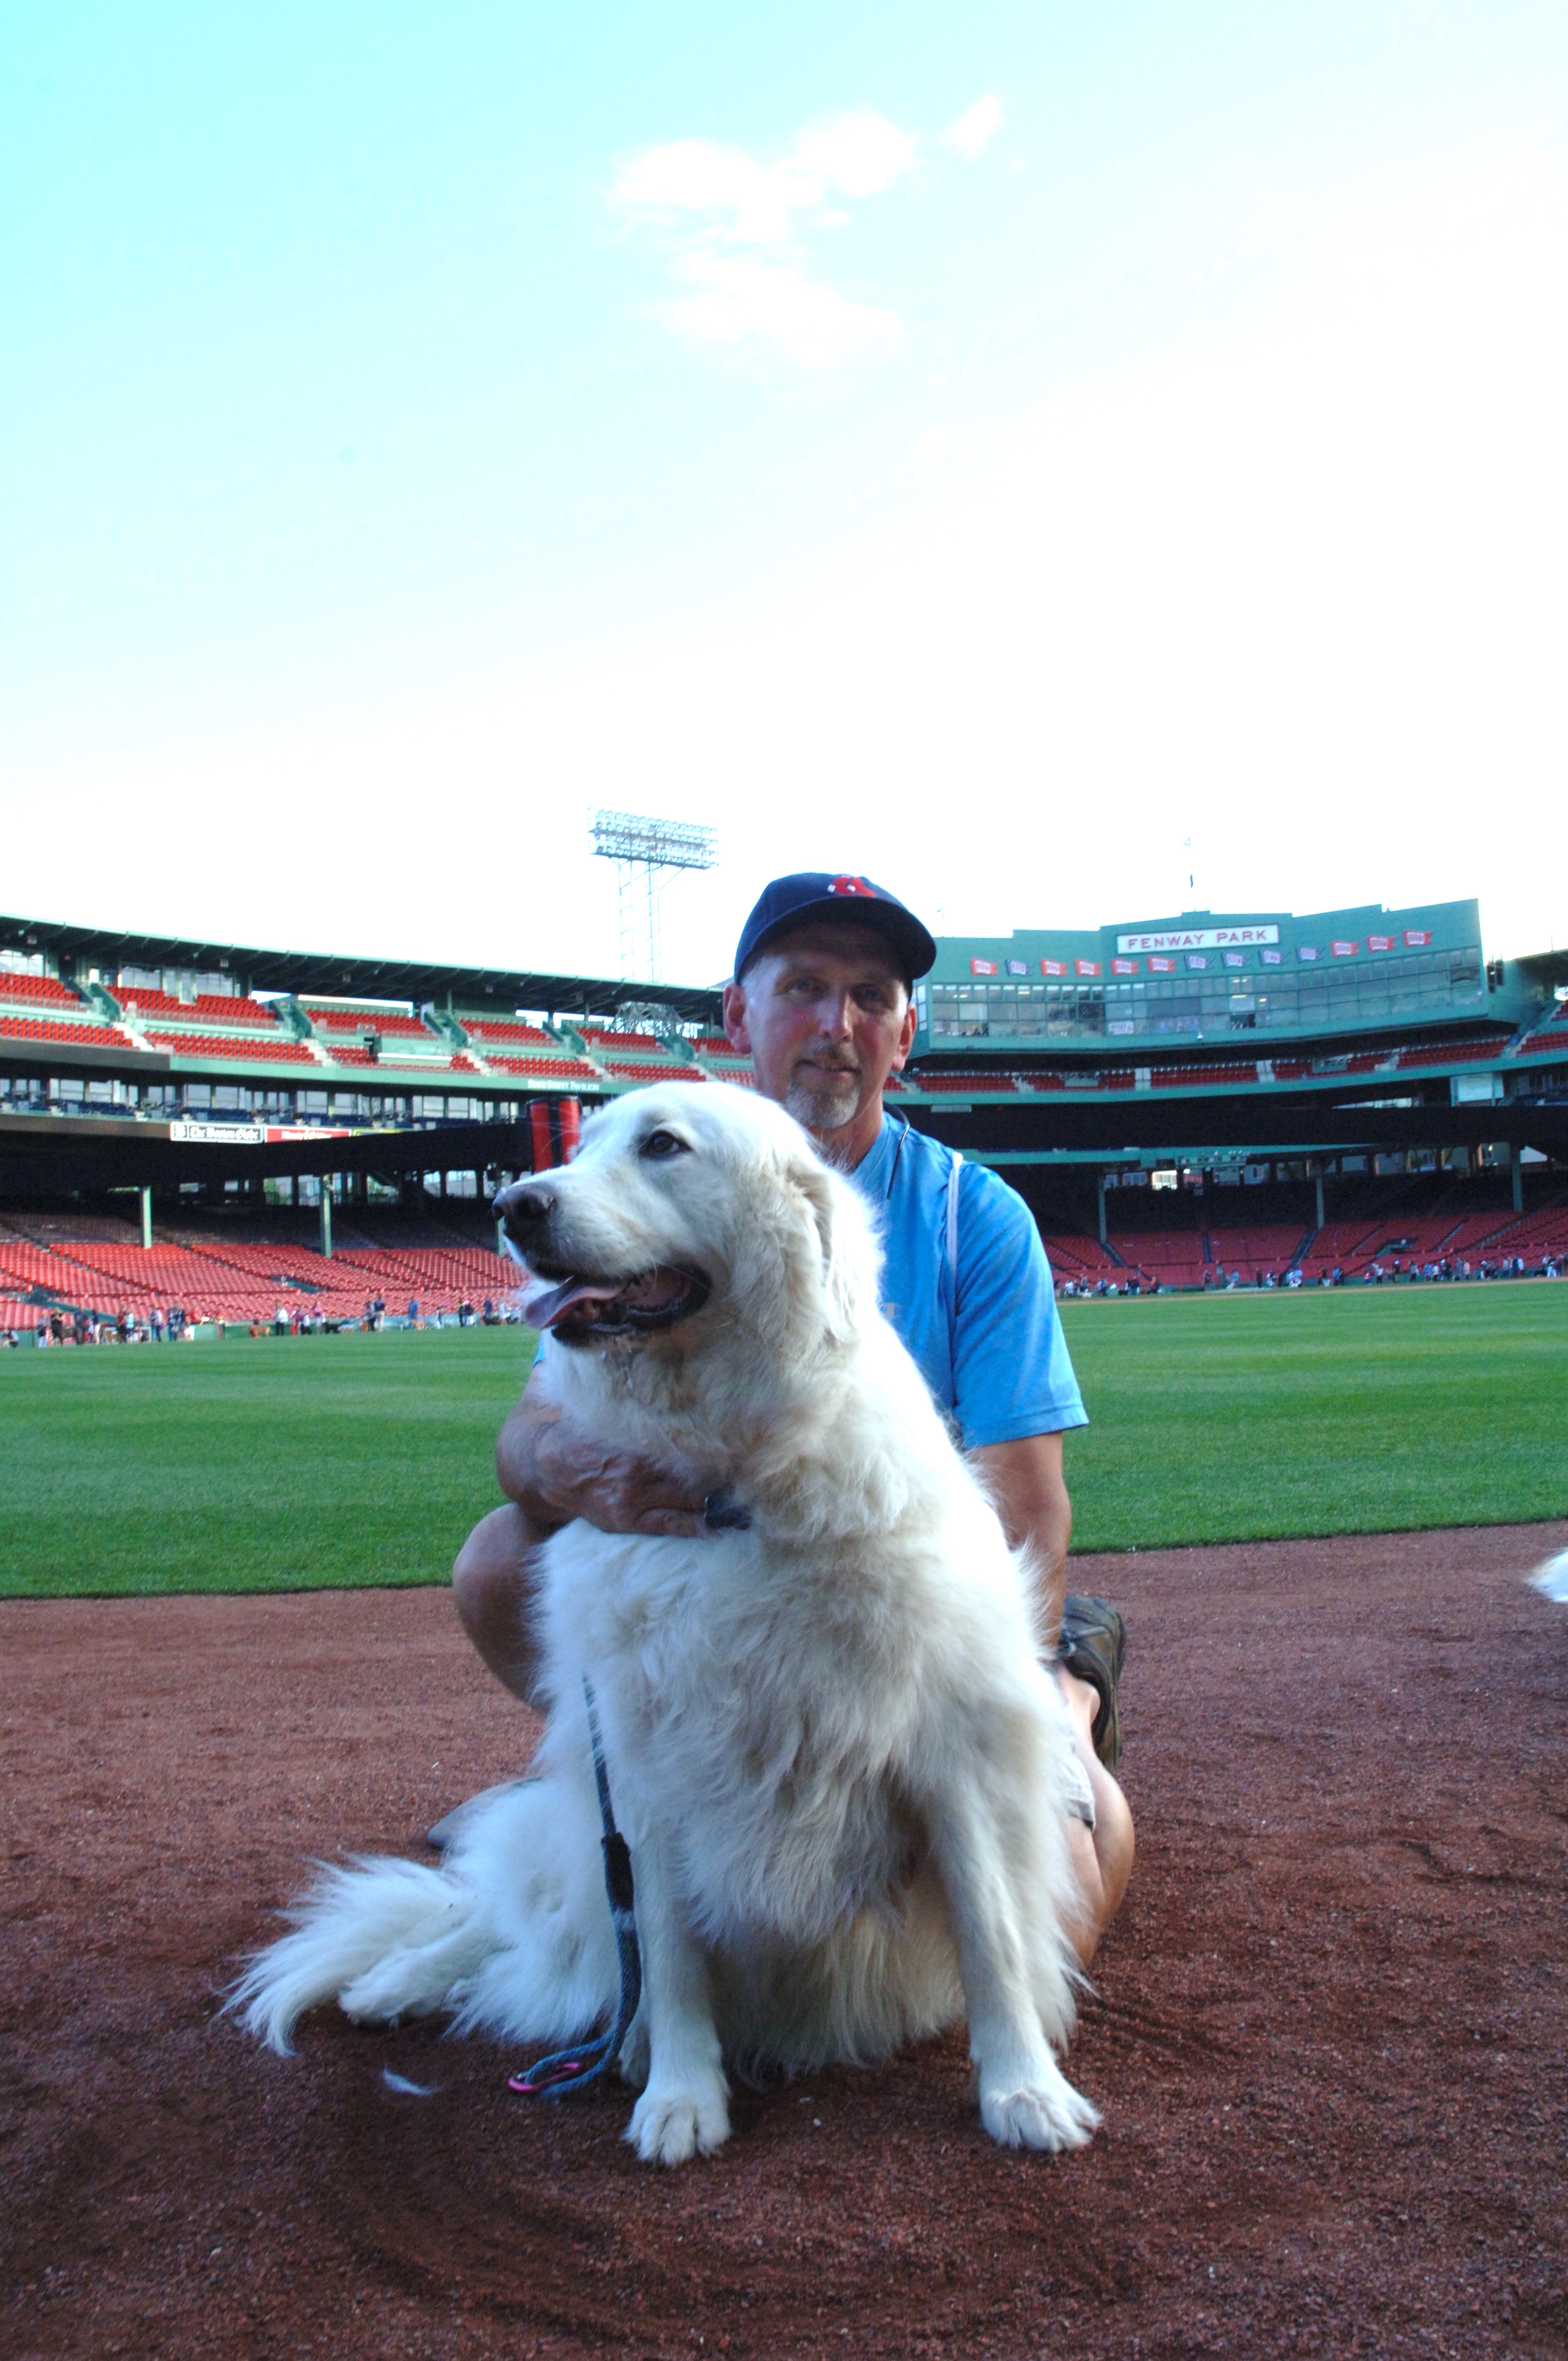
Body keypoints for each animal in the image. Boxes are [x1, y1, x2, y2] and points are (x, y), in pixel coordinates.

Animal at [232, 1086, 1096, 2162]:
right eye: (581, 1140)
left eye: (663, 1146)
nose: (512, 1203)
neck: (730, 1481)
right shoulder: (647, 1771)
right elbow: (673, 1961)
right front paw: (682, 2097)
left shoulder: (954, 1751)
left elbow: (994, 1936)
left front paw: (1023, 2090)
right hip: (577, 1831)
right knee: (507, 1923)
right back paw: (406, 1986)